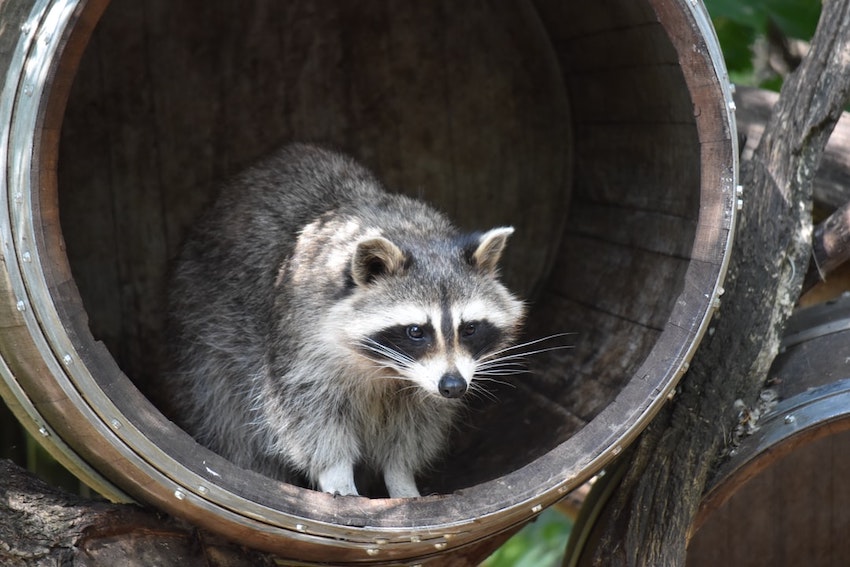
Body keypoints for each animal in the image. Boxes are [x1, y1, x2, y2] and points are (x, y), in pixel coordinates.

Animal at [161, 144, 524, 500]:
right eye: (416, 331)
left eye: (470, 328)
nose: (453, 386)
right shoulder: (300, 339)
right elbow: (308, 414)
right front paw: (336, 473)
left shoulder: (426, 385)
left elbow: (416, 424)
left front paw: (401, 477)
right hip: (206, 327)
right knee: (226, 413)